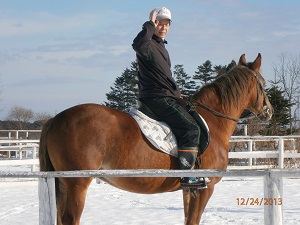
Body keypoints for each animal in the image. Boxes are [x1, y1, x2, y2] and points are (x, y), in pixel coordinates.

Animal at [39, 53, 274, 225]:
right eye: (262, 83)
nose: (269, 111)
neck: (212, 121)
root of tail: (56, 118)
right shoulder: (205, 188)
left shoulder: (190, 190)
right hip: (77, 184)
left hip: (62, 184)